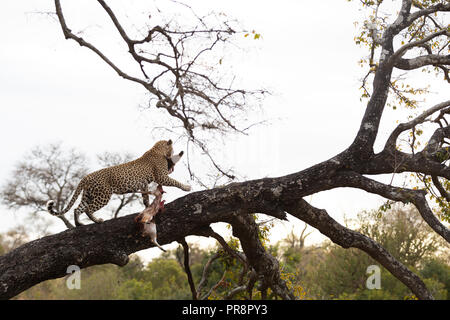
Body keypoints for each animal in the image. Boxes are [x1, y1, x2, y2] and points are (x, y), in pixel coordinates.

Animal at [46, 139, 191, 226]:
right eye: (173, 149)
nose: (174, 153)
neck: (157, 149)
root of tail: (85, 177)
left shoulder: (144, 184)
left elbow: (145, 197)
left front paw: (148, 207)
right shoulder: (161, 177)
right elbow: (175, 182)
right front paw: (187, 187)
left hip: (88, 195)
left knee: (77, 208)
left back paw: (79, 224)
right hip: (103, 195)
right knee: (88, 209)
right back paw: (97, 220)